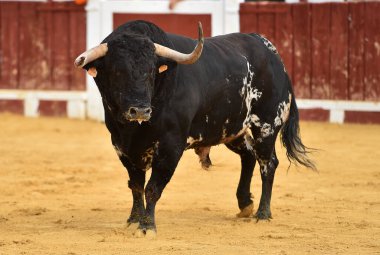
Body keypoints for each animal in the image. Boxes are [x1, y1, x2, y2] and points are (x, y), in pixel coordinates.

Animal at [74, 19, 314, 237]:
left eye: (152, 71)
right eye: (116, 71)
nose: (140, 110)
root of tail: (272, 54)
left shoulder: (170, 147)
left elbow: (152, 188)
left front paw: (147, 226)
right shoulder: (122, 147)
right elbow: (136, 185)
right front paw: (134, 220)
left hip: (266, 126)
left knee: (268, 164)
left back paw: (263, 214)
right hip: (232, 130)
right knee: (248, 157)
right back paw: (245, 205)